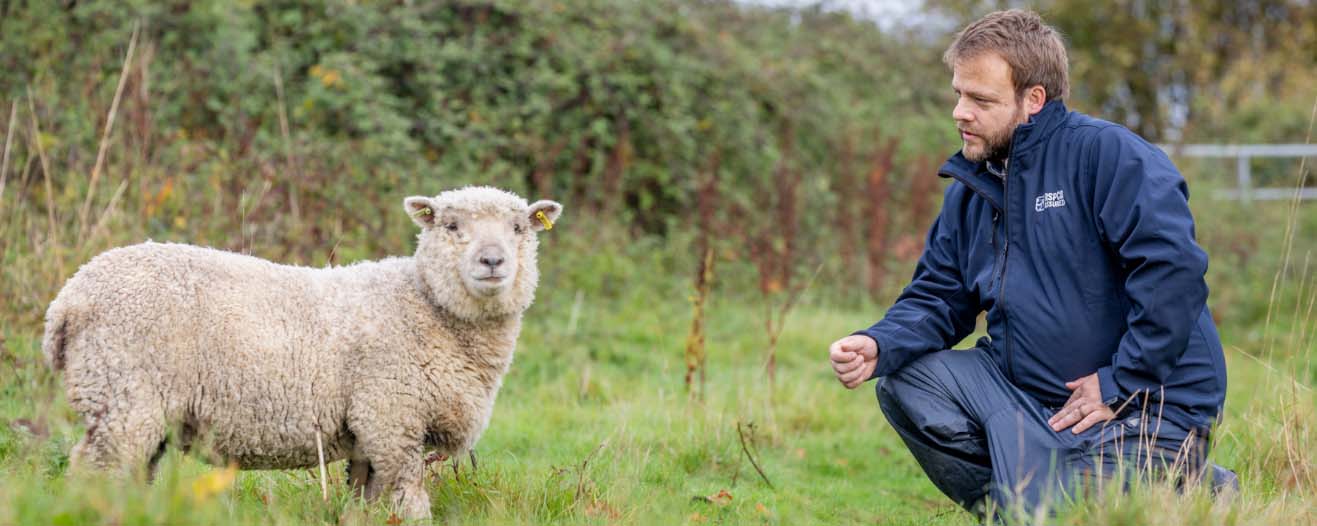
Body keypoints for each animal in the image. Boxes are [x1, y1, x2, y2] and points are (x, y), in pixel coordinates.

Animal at [41, 186, 563, 520]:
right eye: (452, 226)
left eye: (520, 228)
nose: (492, 261)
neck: (426, 303)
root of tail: (66, 300)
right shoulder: (390, 418)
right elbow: (410, 503)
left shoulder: (369, 434)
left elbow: (365, 505)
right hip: (124, 393)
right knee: (94, 471)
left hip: (134, 405)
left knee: (129, 477)